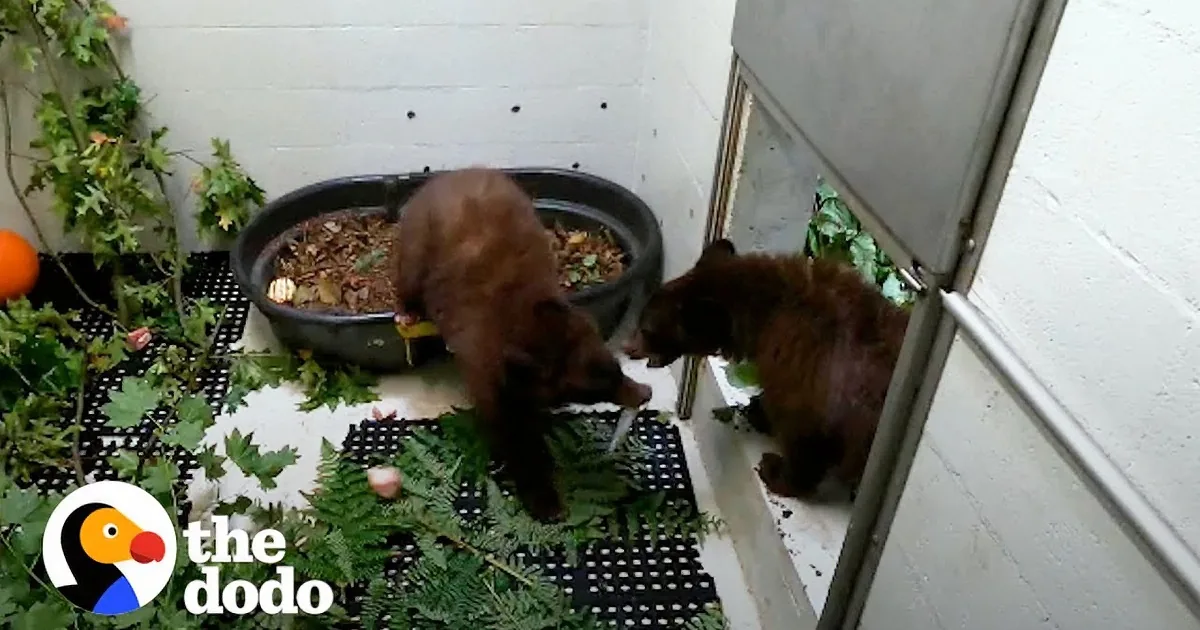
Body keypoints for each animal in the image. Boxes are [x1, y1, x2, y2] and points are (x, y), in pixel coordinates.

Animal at [391, 167, 653, 520]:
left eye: (616, 369)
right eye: (593, 390)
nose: (645, 393)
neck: (526, 323)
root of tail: (444, 177)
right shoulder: (486, 370)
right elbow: (511, 434)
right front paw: (543, 497)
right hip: (418, 240)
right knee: (409, 276)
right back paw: (407, 312)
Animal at [622, 238, 909, 500]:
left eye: (646, 330)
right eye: (640, 320)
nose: (627, 347)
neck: (768, 312)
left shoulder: (807, 372)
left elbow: (802, 431)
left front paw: (775, 472)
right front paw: (756, 409)